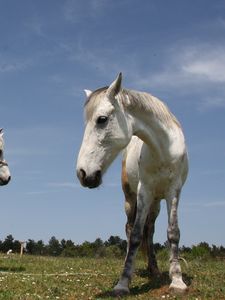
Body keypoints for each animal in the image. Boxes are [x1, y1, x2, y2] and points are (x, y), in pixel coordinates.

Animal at [77, 73, 188, 296]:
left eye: (101, 119)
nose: (83, 173)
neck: (163, 150)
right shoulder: (143, 191)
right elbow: (136, 235)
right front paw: (123, 283)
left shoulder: (174, 191)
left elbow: (173, 233)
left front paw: (177, 280)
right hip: (131, 199)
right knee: (130, 230)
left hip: (156, 202)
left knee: (150, 231)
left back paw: (154, 269)